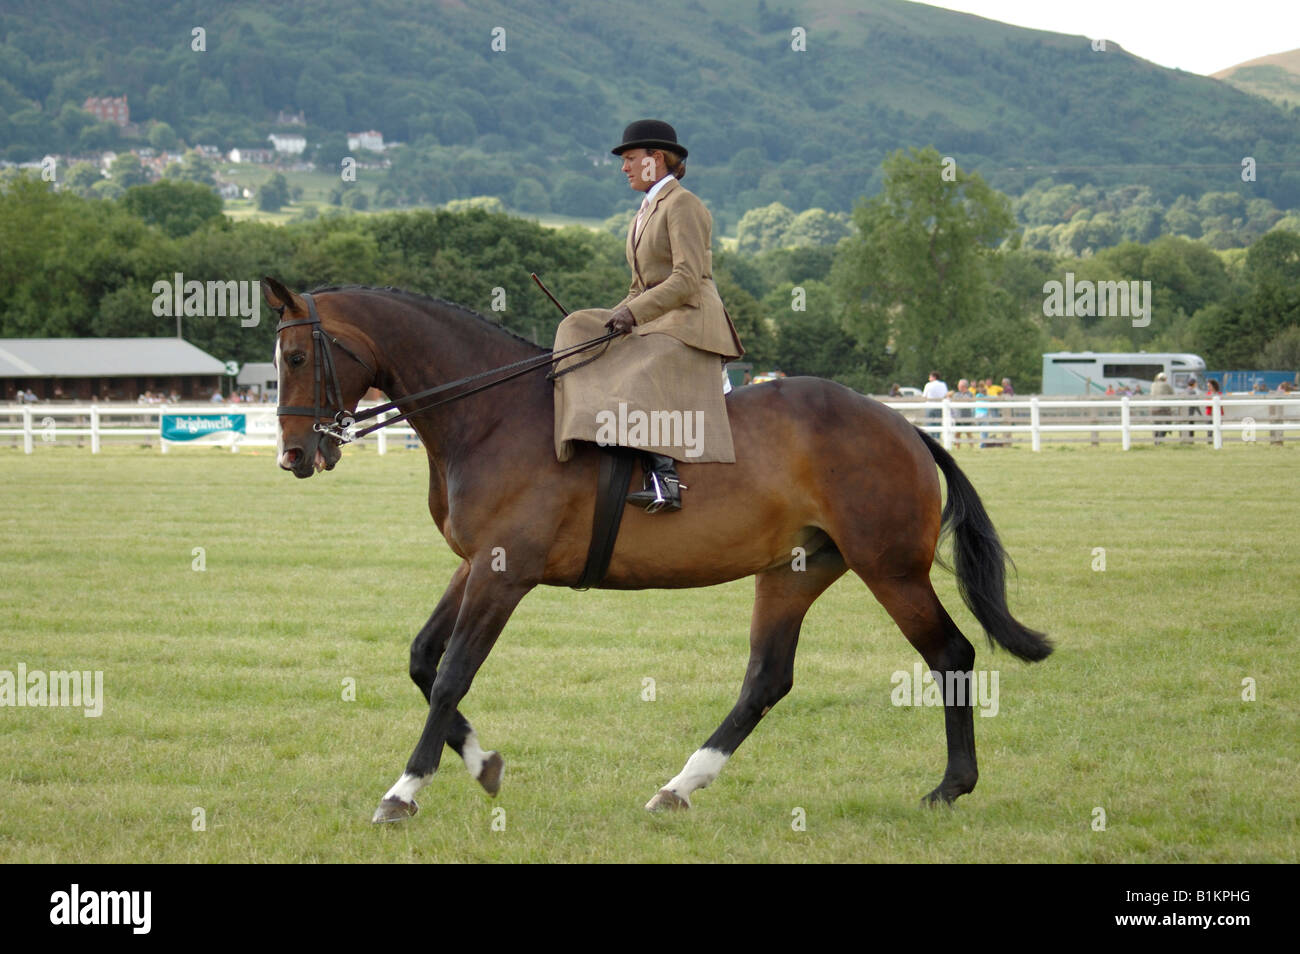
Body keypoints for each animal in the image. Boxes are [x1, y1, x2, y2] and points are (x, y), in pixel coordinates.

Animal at [261, 280, 1045, 826]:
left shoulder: (504, 571)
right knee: (766, 680)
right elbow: (424, 661)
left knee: (950, 654)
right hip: (793, 573)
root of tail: (904, 426)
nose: (294, 456)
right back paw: (679, 787)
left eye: (296, 356)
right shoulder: (476, 563)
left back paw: (950, 786)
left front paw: (403, 792)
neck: (493, 414)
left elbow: (452, 673)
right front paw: (484, 765)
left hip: (890, 569)